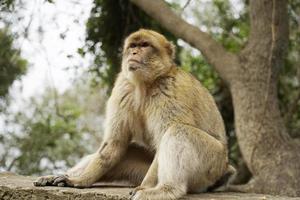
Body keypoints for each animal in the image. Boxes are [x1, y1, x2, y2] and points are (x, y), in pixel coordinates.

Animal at [34, 28, 234, 199]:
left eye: (144, 45)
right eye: (133, 46)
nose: (134, 54)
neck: (146, 84)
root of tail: (224, 167)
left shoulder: (170, 90)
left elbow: (165, 135)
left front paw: (145, 187)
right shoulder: (123, 86)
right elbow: (113, 144)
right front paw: (79, 180)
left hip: (212, 163)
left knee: (178, 131)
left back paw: (166, 189)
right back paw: (62, 176)